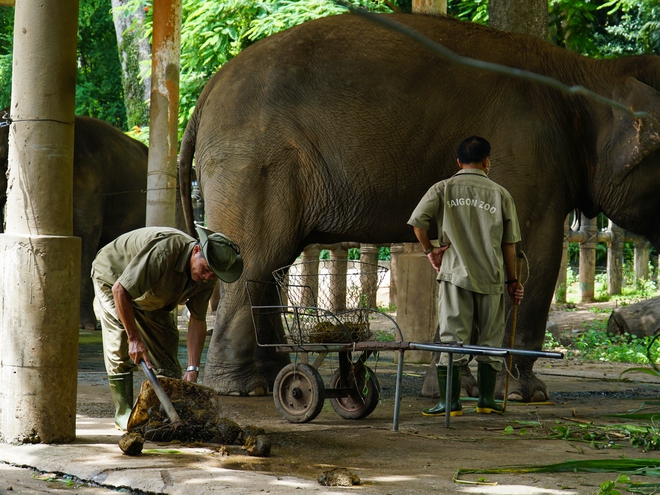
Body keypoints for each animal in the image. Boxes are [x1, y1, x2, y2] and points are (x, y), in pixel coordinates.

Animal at [178, 13, 660, 402]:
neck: (588, 71)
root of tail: (207, 91)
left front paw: (451, 387)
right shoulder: (527, 160)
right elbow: (530, 254)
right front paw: (525, 395)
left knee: (271, 265)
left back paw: (271, 378)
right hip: (255, 162)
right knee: (255, 261)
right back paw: (247, 389)